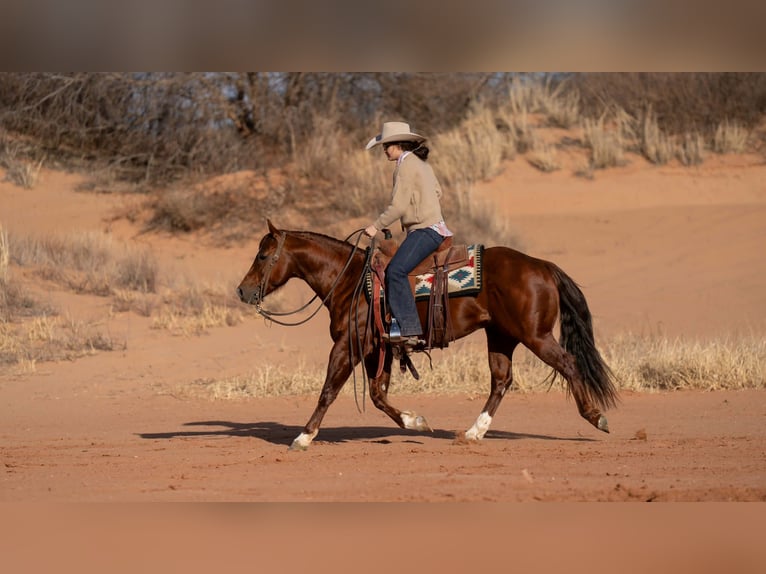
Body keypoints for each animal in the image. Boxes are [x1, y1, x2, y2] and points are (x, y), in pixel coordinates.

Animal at [237, 220, 618, 450]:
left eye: (264, 255)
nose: (243, 291)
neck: (350, 281)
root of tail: (542, 266)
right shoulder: (377, 349)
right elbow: (377, 394)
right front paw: (415, 421)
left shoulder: (348, 345)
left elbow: (329, 390)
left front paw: (303, 436)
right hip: (501, 336)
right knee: (501, 380)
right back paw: (473, 432)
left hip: (535, 336)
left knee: (568, 364)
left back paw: (596, 417)